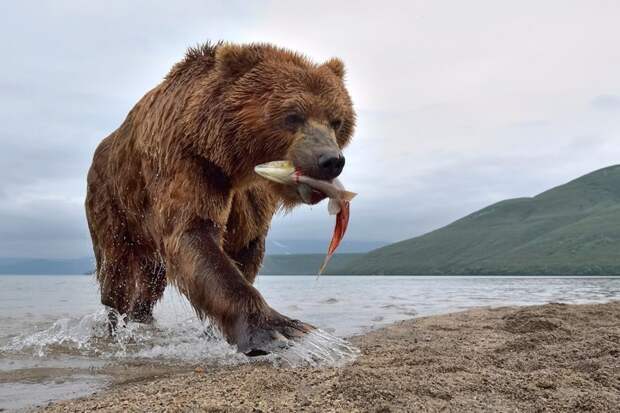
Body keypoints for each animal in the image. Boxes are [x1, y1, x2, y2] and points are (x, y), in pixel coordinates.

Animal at [84, 40, 354, 352]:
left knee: (152, 280)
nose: (330, 160)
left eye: (336, 120)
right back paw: (116, 326)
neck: (234, 164)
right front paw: (281, 329)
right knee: (117, 274)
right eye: (292, 116)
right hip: (114, 204)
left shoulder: (251, 200)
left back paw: (144, 319)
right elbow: (193, 232)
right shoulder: (185, 162)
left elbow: (245, 249)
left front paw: (218, 332)